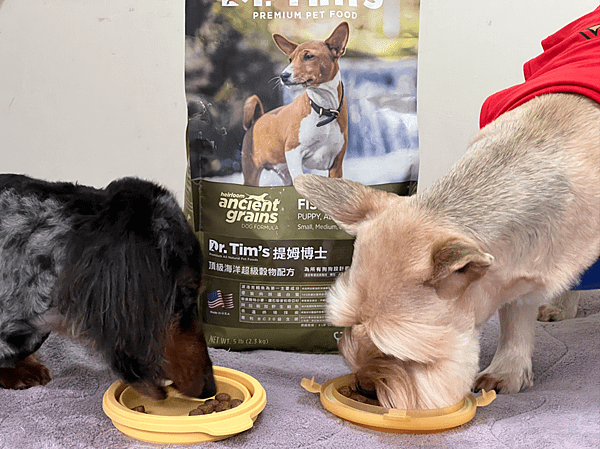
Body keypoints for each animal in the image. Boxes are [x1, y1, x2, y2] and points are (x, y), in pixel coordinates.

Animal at [241, 22, 349, 186]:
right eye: (290, 60)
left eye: (309, 56)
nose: (283, 76)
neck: (323, 109)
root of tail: (256, 119)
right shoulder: (293, 153)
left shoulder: (336, 165)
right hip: (251, 174)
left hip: (285, 174)